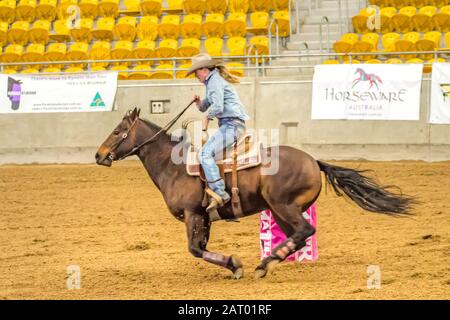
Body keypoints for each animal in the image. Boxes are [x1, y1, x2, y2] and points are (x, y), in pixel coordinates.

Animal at [95, 107, 414, 278]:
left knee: (304, 231)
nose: (99, 155)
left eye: (117, 131)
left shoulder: (192, 214)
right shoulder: (204, 217)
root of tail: (314, 161)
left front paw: (235, 264)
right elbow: (201, 247)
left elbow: (195, 249)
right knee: (299, 236)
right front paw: (233, 266)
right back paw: (269, 261)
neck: (173, 166)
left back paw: (265, 263)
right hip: (279, 209)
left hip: (282, 205)